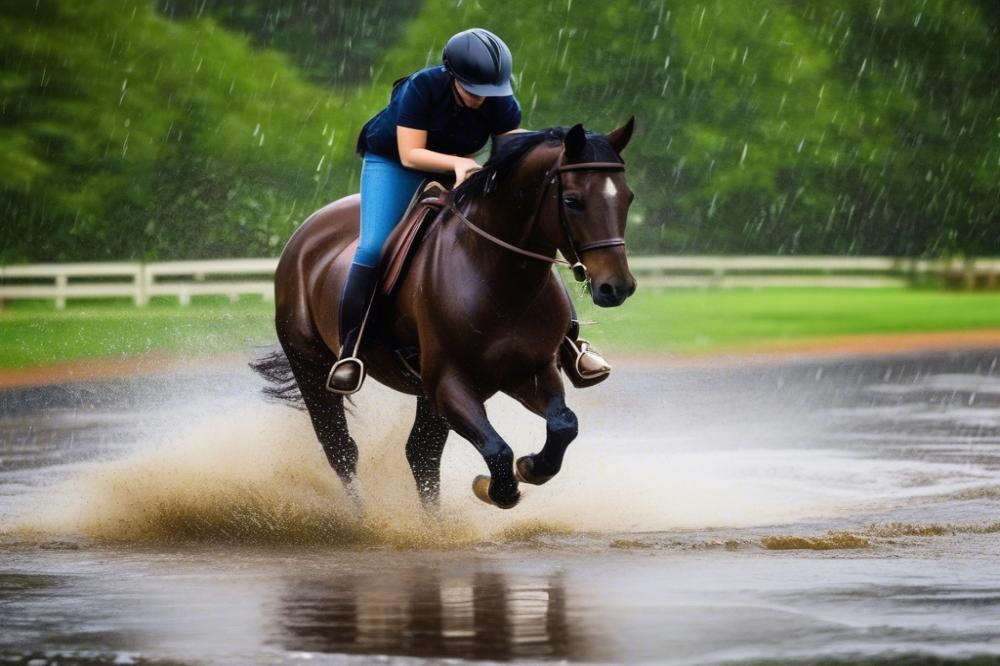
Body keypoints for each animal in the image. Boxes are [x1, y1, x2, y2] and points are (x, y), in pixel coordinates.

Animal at [254, 116, 636, 506]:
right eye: (573, 201)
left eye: (628, 197)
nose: (616, 287)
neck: (497, 277)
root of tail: (304, 234)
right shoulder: (449, 383)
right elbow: (498, 450)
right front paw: (496, 489)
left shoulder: (530, 371)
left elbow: (563, 425)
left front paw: (531, 468)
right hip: (310, 365)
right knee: (341, 448)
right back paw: (362, 513)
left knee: (421, 455)